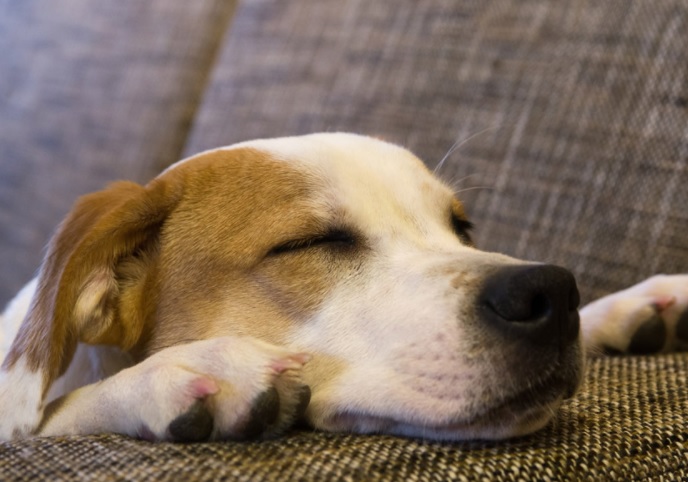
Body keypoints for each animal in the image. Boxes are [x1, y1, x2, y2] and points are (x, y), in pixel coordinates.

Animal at [1, 134, 688, 442]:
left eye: (462, 229)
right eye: (311, 243)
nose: (549, 290)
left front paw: (633, 307)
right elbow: (53, 415)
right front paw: (184, 371)